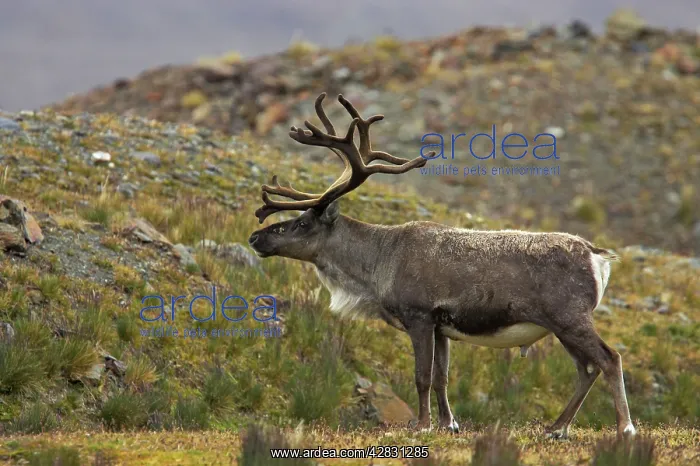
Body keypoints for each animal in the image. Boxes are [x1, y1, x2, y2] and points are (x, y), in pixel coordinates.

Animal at [247, 92, 636, 439]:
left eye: (301, 224)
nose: (255, 237)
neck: (377, 265)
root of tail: (597, 255)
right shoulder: (441, 326)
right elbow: (441, 378)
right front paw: (449, 424)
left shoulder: (419, 316)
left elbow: (421, 376)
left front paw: (421, 425)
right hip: (560, 325)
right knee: (586, 369)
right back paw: (556, 428)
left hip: (570, 317)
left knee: (609, 358)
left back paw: (624, 428)